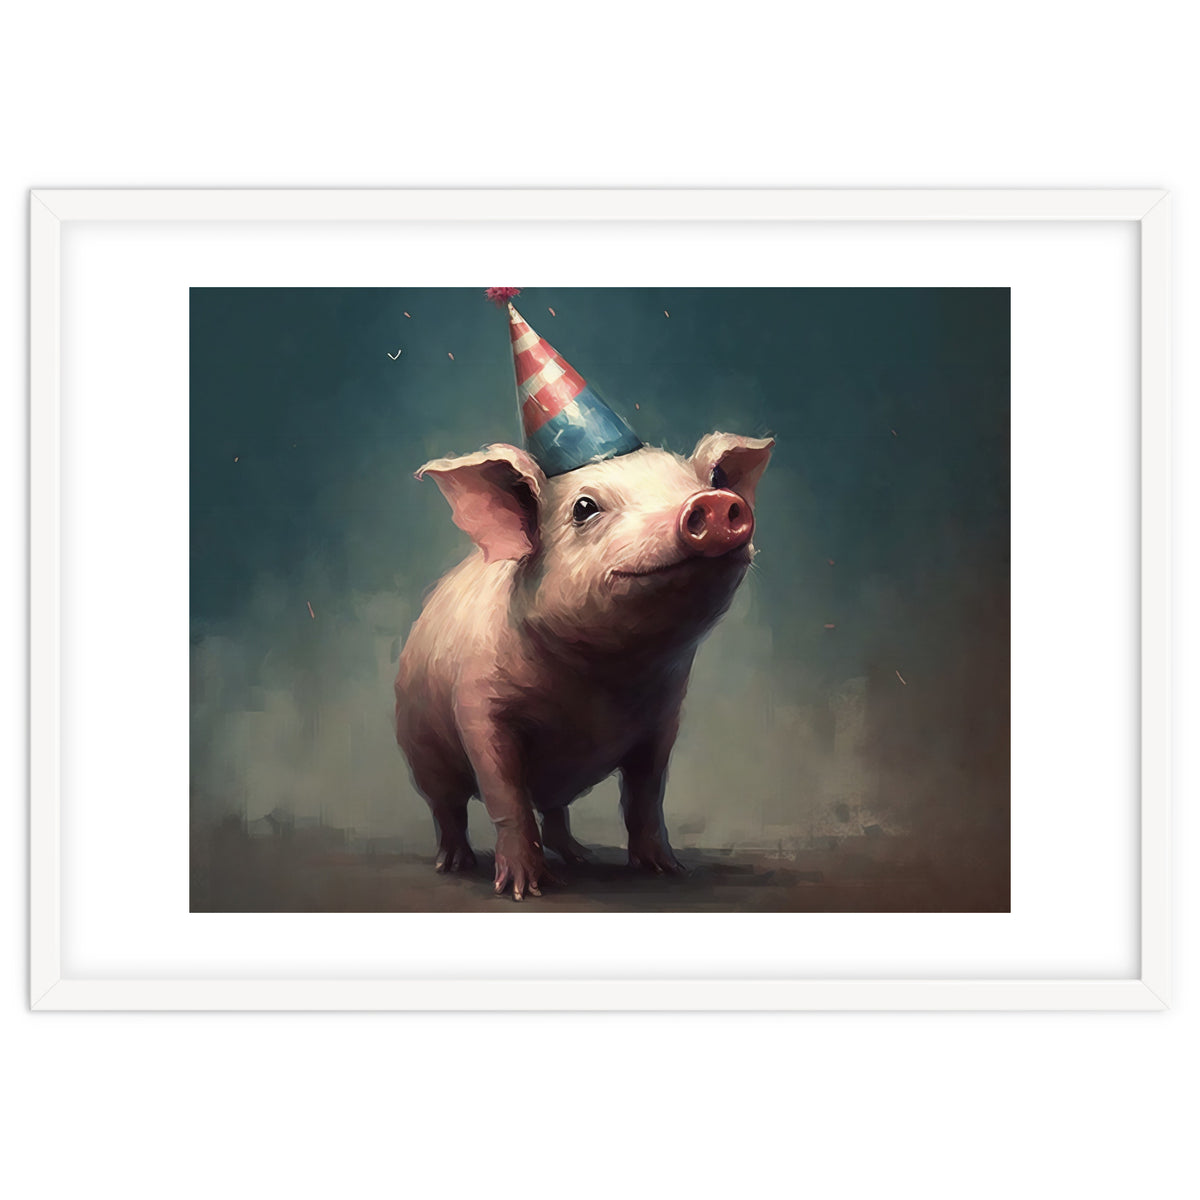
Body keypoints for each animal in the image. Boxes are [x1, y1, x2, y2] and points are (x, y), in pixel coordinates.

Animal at [394, 433, 773, 900]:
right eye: (584, 507)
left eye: (713, 480)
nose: (715, 501)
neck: (601, 678)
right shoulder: (479, 707)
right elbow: (506, 795)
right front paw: (524, 890)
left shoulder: (664, 719)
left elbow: (646, 796)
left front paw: (668, 870)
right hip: (418, 747)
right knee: (447, 809)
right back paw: (454, 863)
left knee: (555, 811)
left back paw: (581, 857)